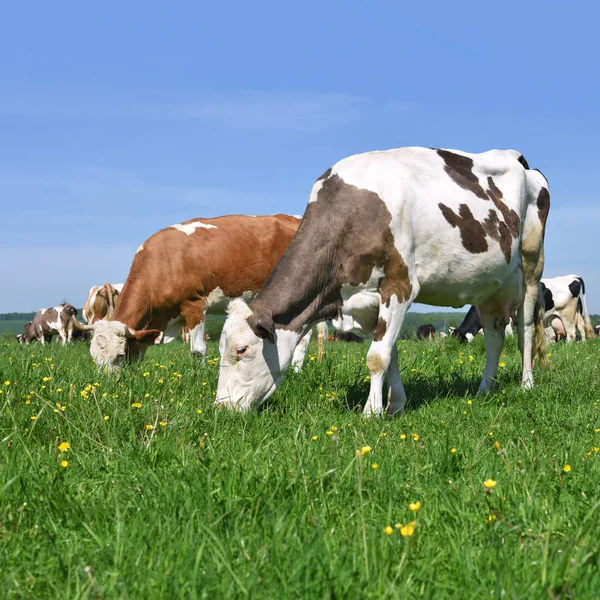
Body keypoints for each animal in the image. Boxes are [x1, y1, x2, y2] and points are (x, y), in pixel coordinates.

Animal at [216, 146, 548, 418]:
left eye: (241, 350)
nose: (221, 407)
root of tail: (517, 158)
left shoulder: (400, 285)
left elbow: (377, 356)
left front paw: (371, 413)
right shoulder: (368, 301)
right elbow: (391, 354)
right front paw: (395, 405)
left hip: (531, 266)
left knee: (525, 328)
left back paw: (526, 383)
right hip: (488, 286)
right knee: (494, 336)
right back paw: (484, 389)